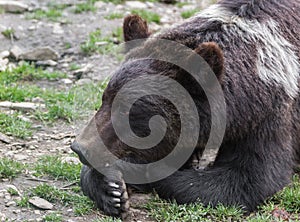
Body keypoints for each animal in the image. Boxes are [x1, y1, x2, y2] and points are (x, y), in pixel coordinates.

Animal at [71, 0, 300, 218]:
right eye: (104, 98)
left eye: (129, 111)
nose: (80, 148)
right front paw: (112, 190)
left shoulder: (269, 113)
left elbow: (246, 178)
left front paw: (131, 171)